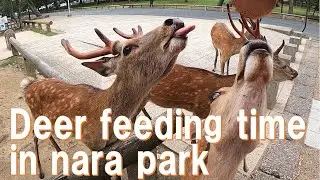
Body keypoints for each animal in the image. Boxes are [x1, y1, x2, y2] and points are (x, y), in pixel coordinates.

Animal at [21, 18, 195, 179]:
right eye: (127, 49)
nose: (172, 21)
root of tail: (28, 85)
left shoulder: (115, 144)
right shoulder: (93, 144)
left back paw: (60, 154)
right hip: (36, 114)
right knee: (35, 134)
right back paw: (41, 172)